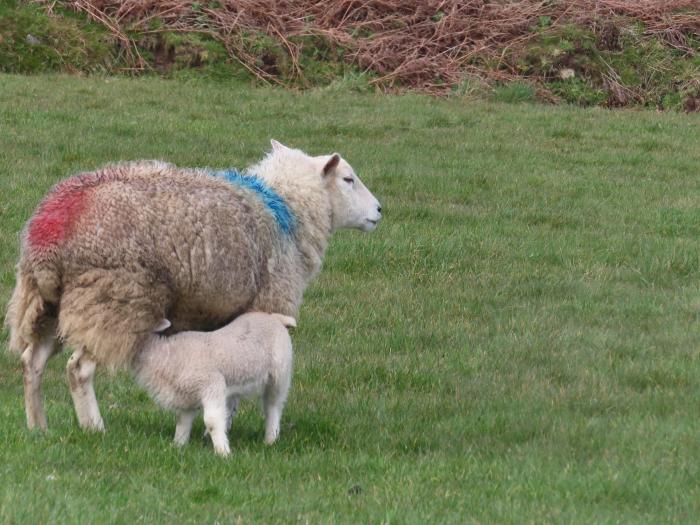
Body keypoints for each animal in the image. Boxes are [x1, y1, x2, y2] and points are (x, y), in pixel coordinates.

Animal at [4, 139, 382, 430]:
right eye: (348, 179)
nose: (379, 210)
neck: (285, 210)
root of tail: (54, 223)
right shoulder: (265, 306)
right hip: (112, 299)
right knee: (78, 369)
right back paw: (94, 428)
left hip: (48, 303)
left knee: (32, 362)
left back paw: (38, 426)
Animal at [134, 312, 296, 454]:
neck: (168, 355)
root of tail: (276, 318)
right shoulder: (186, 396)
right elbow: (182, 421)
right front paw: (177, 446)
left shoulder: (211, 383)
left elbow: (211, 420)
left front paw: (223, 452)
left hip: (280, 373)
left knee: (273, 406)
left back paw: (270, 439)